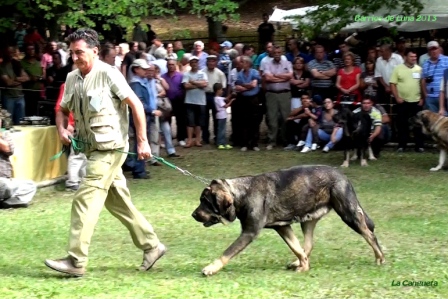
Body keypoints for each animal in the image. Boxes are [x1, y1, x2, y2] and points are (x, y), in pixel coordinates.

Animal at [191, 165, 384, 278]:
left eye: (205, 201)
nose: (193, 214)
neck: (241, 194)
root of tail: (343, 176)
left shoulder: (249, 232)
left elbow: (227, 253)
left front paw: (211, 268)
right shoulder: (283, 227)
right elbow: (296, 247)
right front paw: (304, 267)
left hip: (348, 214)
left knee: (370, 235)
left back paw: (379, 258)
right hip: (308, 220)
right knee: (307, 246)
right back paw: (298, 262)